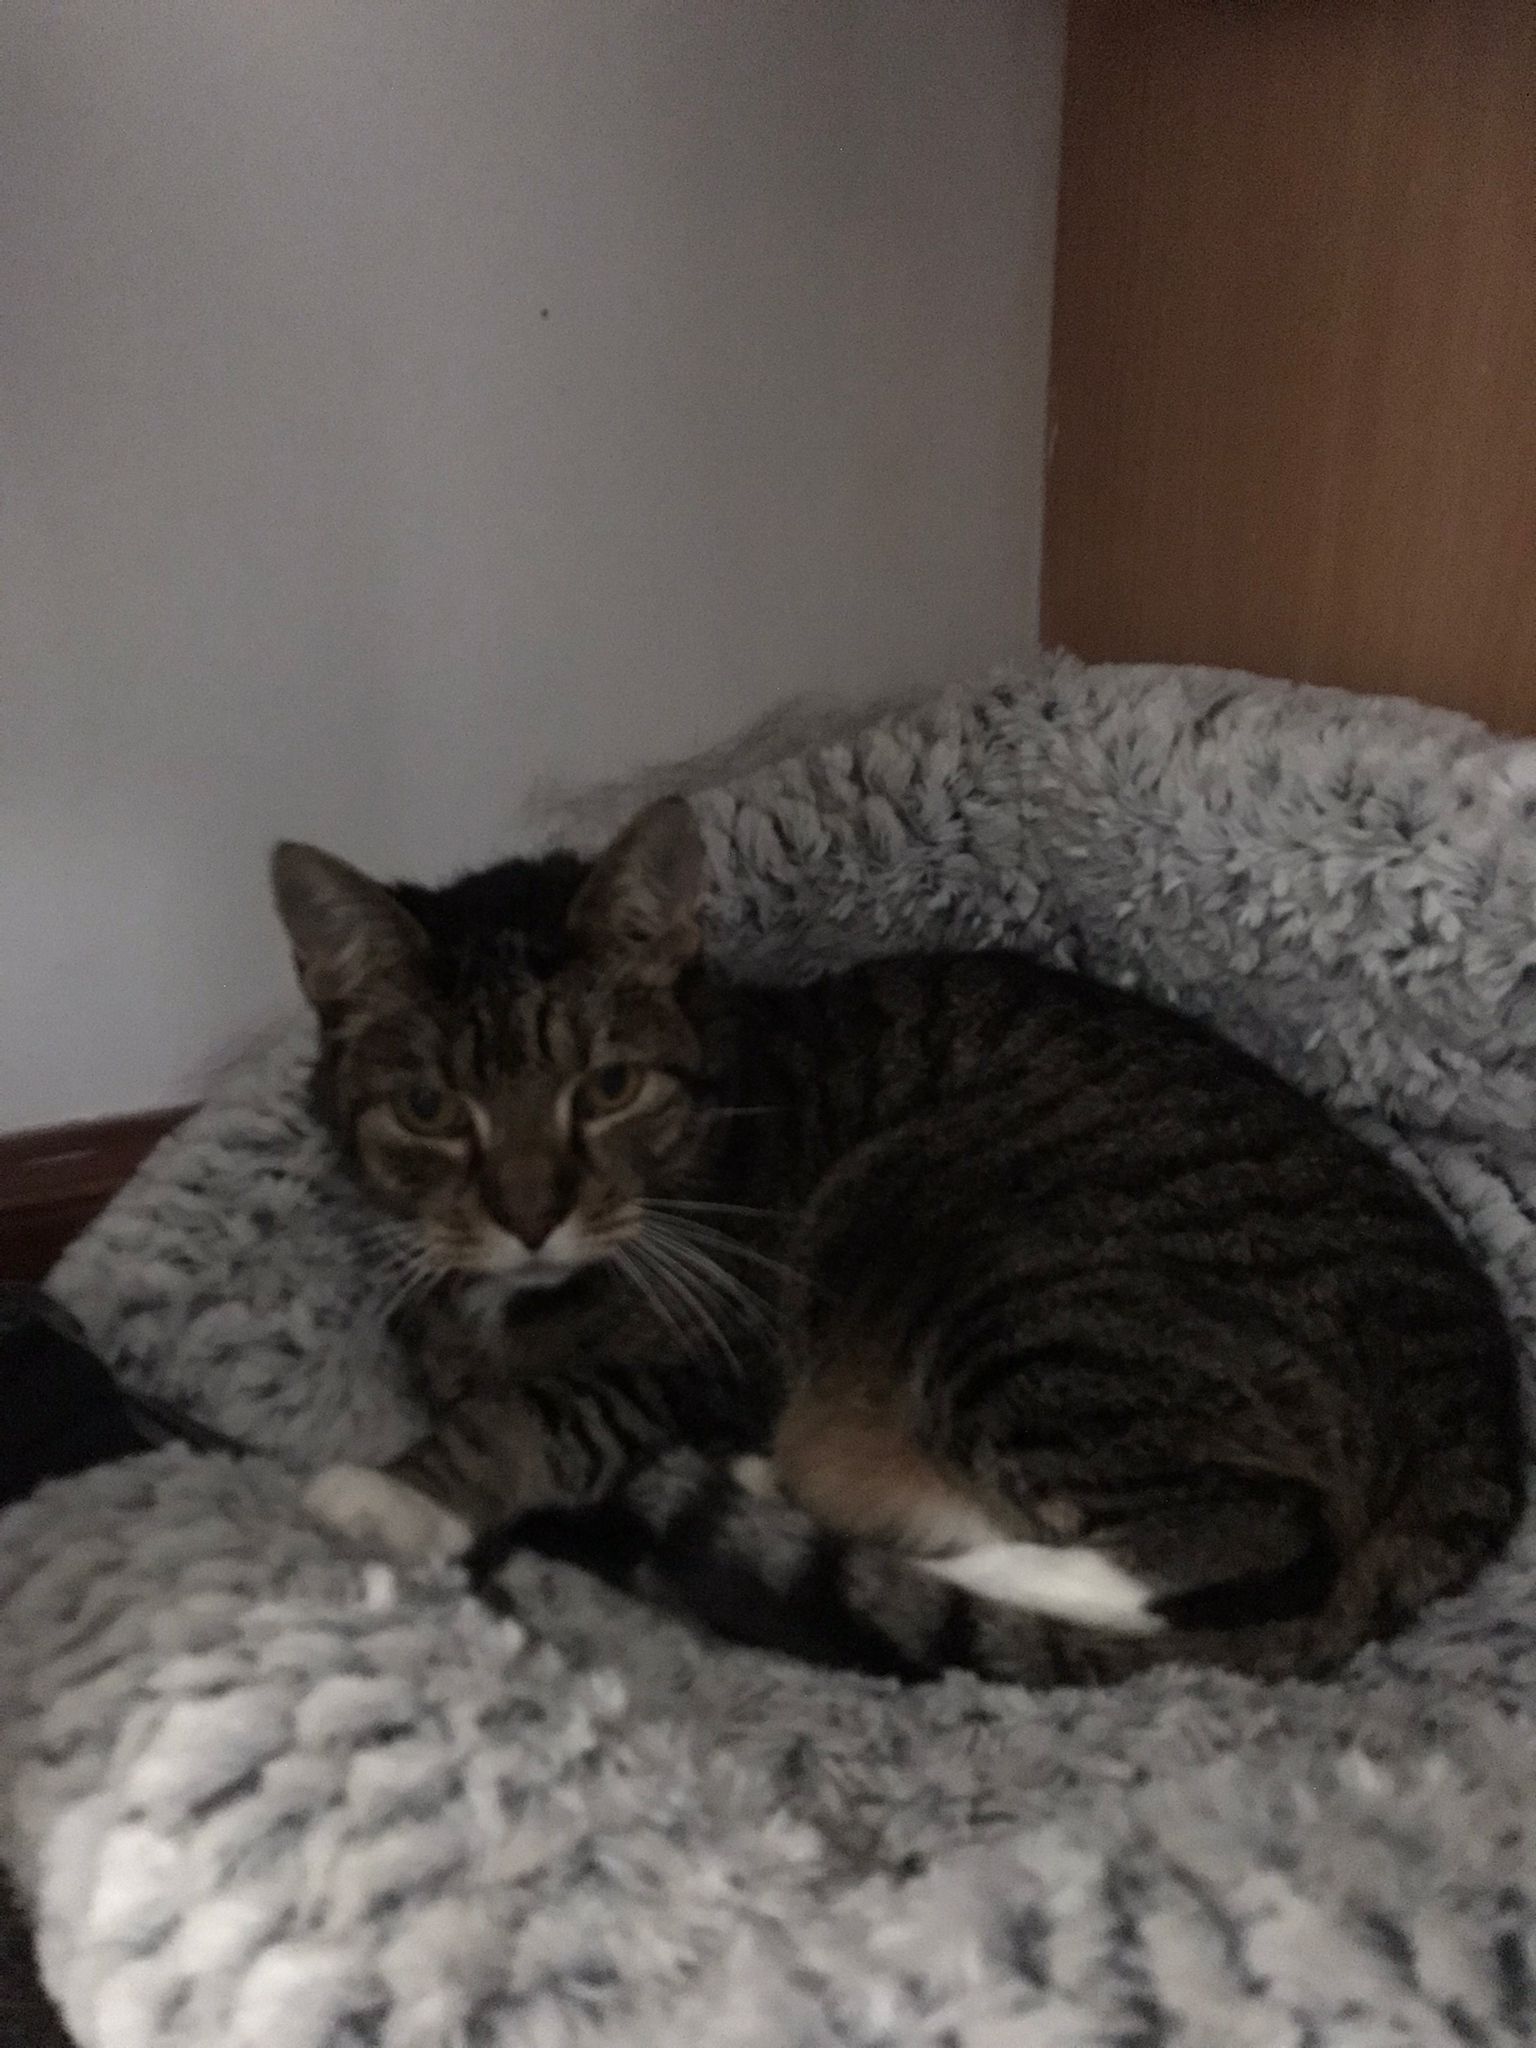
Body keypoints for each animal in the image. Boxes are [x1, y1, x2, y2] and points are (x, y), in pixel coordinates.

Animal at [276, 797, 1522, 1685]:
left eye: (609, 1087)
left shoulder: (718, 1357)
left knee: (1241, 1544)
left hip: (1005, 1272)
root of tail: (1473, 1457)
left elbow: (545, 1410)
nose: (528, 1214)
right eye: (432, 1110)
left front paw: (400, 1494)